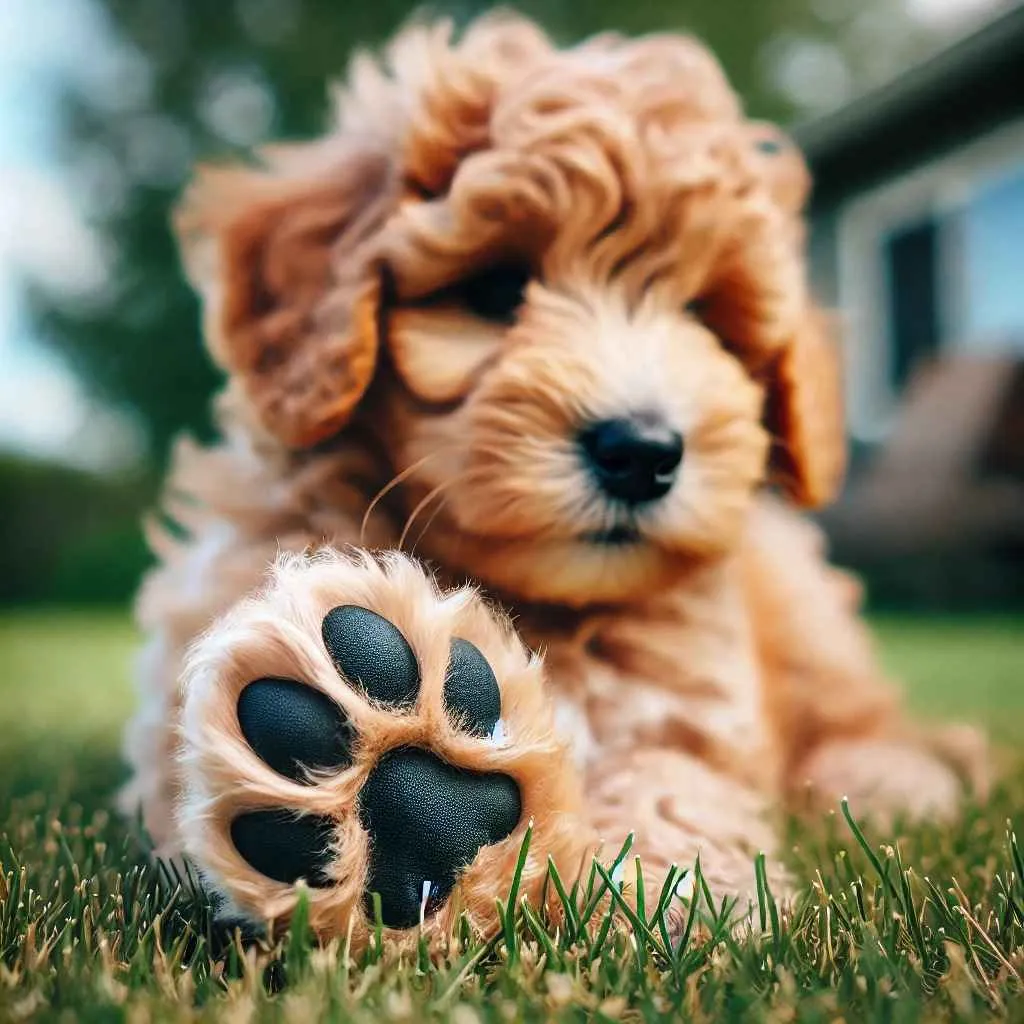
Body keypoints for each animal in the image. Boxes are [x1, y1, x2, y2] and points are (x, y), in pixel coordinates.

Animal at [117, 12, 983, 946]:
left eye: (704, 316)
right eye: (497, 288)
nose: (641, 451)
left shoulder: (684, 702)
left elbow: (673, 783)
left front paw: (682, 894)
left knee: (864, 714)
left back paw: (892, 780)